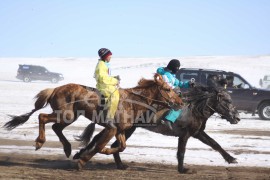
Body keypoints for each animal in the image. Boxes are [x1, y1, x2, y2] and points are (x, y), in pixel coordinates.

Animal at [3, 74, 182, 161]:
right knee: (42, 117)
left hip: (70, 117)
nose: (180, 102)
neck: (132, 101)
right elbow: (104, 144)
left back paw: (68, 149)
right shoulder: (113, 128)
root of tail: (55, 89)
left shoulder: (120, 130)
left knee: (55, 127)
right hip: (65, 115)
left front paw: (101, 151)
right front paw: (93, 153)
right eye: (167, 89)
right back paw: (40, 142)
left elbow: (122, 146)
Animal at [74, 86, 240, 173]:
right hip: (127, 129)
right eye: (227, 101)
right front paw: (182, 169)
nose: (237, 117)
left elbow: (214, 144)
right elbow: (181, 152)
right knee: (109, 143)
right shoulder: (185, 135)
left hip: (126, 129)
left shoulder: (197, 133)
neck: (194, 109)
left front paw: (231, 159)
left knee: (109, 143)